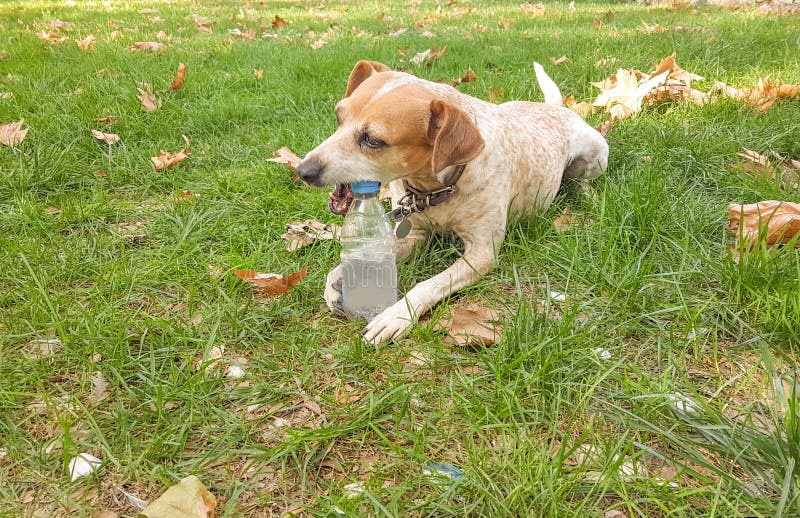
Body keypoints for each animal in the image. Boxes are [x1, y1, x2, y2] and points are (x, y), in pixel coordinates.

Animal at [296, 60, 608, 346]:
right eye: (338, 117)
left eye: (373, 140)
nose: (303, 171)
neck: (434, 190)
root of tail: (557, 108)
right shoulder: (413, 234)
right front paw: (338, 281)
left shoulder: (482, 253)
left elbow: (430, 283)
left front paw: (397, 314)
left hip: (595, 154)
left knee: (584, 179)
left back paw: (586, 194)